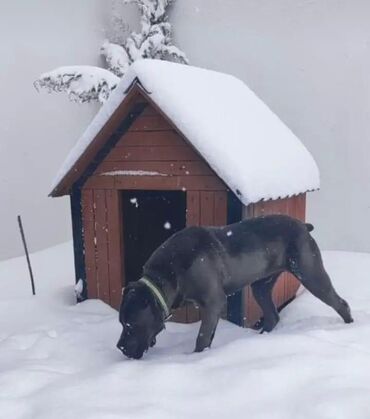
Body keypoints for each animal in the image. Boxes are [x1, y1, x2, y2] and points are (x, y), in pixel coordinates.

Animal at [117, 215, 354, 360]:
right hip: (261, 286)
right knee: (272, 316)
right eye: (121, 322)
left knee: (340, 303)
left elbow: (202, 337)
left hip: (310, 273)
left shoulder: (213, 302)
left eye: (131, 324)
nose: (120, 347)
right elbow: (208, 335)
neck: (167, 274)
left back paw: (350, 327)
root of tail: (303, 226)